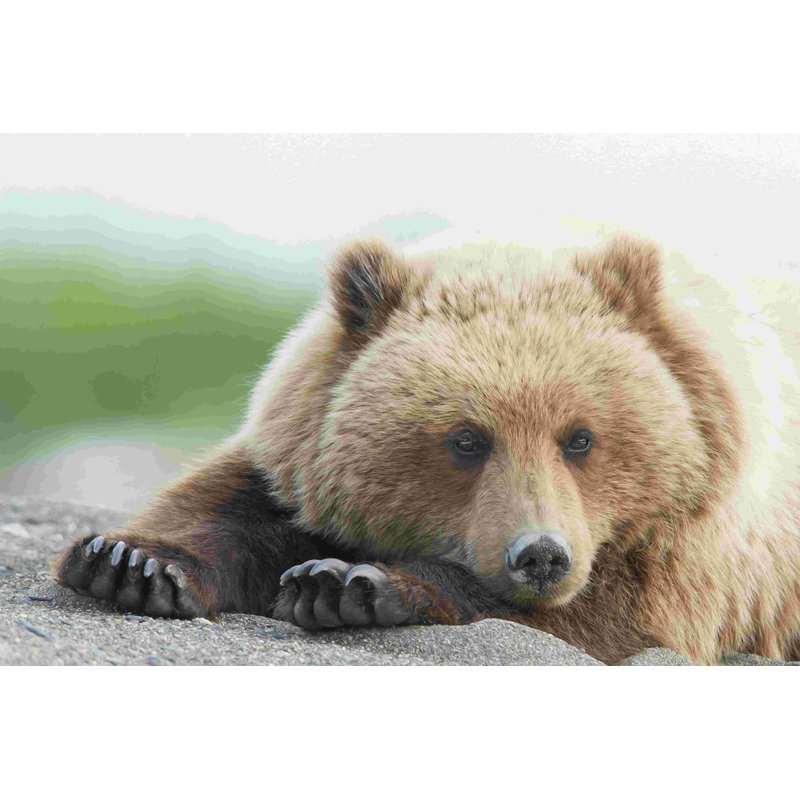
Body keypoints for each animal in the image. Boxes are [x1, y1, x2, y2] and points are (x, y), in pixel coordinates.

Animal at [53, 234, 800, 665]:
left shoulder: (696, 552)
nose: (540, 555)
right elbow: (231, 508)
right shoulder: (296, 445)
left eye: (580, 438)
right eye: (467, 440)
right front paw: (131, 563)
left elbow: (610, 615)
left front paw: (347, 584)